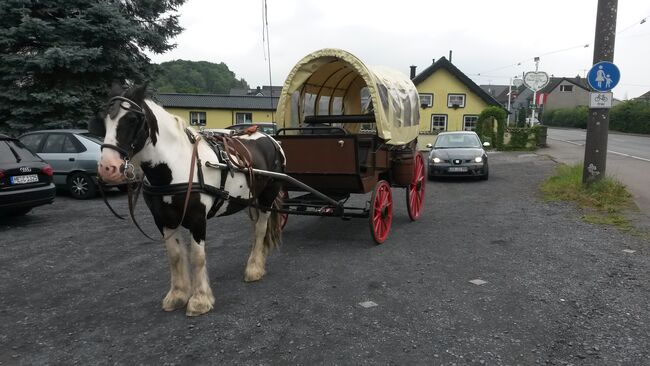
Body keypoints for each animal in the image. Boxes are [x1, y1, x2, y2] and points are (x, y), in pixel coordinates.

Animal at [90, 84, 284, 316]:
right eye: (104, 120)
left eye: (132, 119)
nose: (107, 168)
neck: (175, 164)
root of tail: (271, 139)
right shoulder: (164, 220)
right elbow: (174, 256)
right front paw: (177, 295)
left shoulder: (197, 219)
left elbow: (197, 257)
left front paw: (199, 300)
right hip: (248, 200)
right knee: (256, 232)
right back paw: (258, 262)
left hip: (266, 198)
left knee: (261, 229)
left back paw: (254, 269)